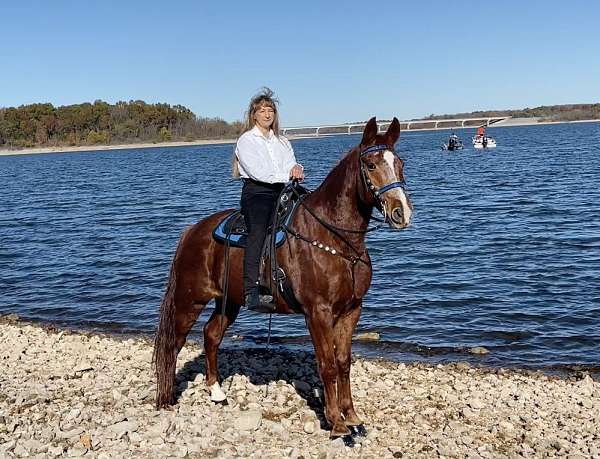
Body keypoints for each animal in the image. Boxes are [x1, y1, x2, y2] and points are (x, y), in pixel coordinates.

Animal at [154, 117, 412, 440]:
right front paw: (336, 422)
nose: (401, 213)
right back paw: (165, 399)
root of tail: (191, 231)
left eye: (400, 163)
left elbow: (343, 363)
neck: (334, 238)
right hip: (189, 300)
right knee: (173, 344)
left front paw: (352, 416)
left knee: (211, 335)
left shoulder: (352, 310)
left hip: (229, 302)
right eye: (371, 164)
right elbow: (327, 365)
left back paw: (216, 391)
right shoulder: (318, 313)